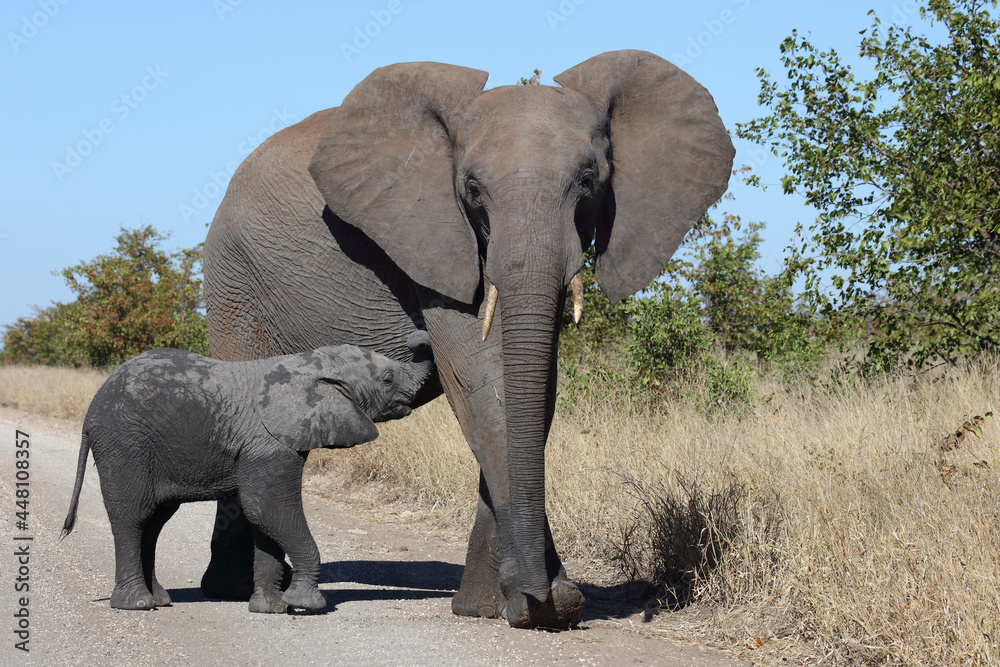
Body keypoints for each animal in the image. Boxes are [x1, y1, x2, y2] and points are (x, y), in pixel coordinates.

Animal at [60, 332, 434, 613]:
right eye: (387, 379)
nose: (417, 336)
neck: (308, 364)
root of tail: (91, 411)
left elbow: (264, 518)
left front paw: (271, 609)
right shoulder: (267, 441)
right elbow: (266, 507)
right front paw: (306, 604)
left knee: (154, 521)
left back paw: (161, 600)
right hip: (124, 444)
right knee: (133, 516)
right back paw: (137, 605)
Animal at [202, 49, 734, 629]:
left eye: (589, 179)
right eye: (472, 189)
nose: (550, 596)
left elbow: (529, 392)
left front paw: (491, 606)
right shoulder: (434, 239)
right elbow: (482, 380)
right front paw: (544, 602)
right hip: (234, 286)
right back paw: (231, 591)